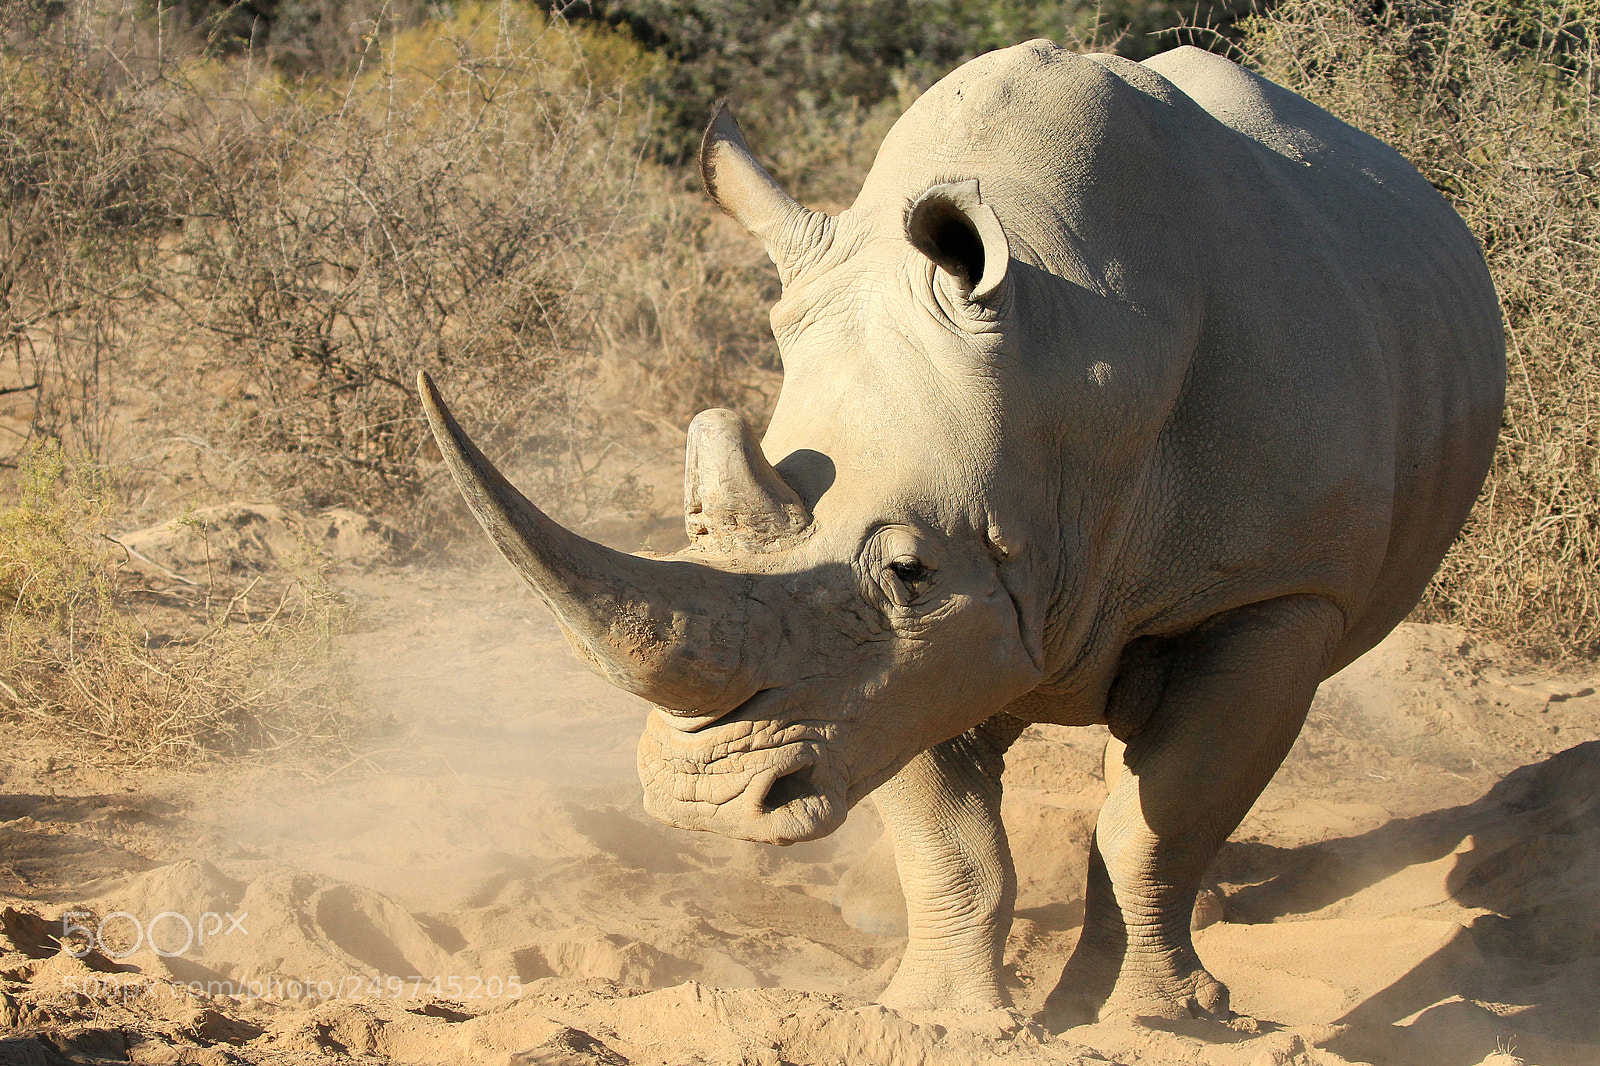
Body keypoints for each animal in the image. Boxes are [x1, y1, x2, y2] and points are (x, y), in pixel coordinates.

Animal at [419, 42, 1505, 1027]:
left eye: (910, 571)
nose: (703, 801)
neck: (1074, 364)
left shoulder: (1275, 592)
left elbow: (1158, 822)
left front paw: (1152, 1020)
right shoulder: (895, 671)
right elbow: (947, 835)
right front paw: (942, 1017)